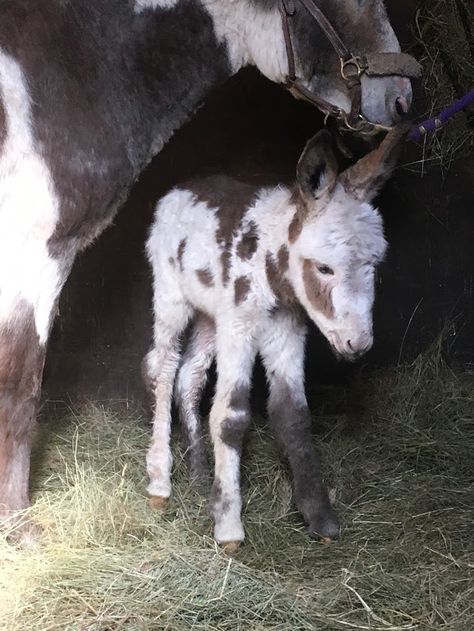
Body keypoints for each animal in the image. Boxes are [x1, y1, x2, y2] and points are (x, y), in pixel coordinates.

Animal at [143, 127, 404, 548]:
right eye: (324, 268)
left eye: (374, 265)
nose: (358, 344)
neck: (271, 268)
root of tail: (181, 188)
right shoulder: (239, 326)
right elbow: (230, 415)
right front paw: (229, 525)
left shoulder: (286, 330)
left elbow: (293, 414)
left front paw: (320, 518)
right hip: (172, 298)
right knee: (163, 369)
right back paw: (160, 483)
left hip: (209, 317)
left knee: (190, 376)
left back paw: (199, 476)